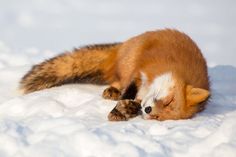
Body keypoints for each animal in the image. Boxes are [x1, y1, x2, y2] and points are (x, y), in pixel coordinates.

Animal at [19, 28, 210, 121]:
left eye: (158, 117)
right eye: (168, 100)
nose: (148, 110)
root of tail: (123, 45)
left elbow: (133, 102)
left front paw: (127, 110)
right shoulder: (140, 72)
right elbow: (129, 90)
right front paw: (119, 108)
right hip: (128, 62)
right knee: (119, 81)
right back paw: (113, 91)